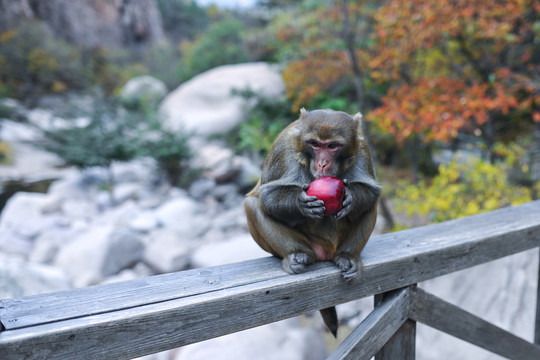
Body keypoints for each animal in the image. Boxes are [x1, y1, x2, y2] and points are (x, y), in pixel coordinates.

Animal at [245, 108, 380, 336]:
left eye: (332, 146)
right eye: (315, 144)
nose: (322, 163)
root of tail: (325, 252)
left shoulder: (362, 147)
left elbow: (370, 191)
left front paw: (350, 198)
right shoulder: (285, 149)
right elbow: (267, 196)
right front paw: (301, 204)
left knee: (371, 206)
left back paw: (347, 257)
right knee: (252, 204)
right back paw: (298, 255)